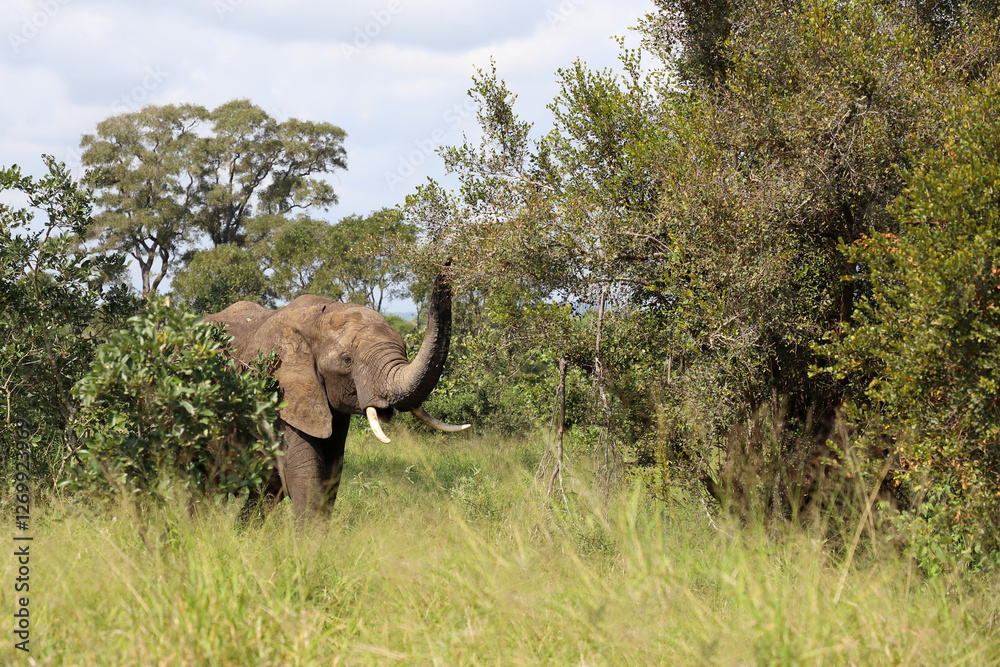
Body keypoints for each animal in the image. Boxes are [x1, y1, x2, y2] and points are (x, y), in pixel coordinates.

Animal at [205, 271, 468, 523]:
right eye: (347, 360)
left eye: (404, 347)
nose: (445, 269)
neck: (316, 317)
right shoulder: (278, 391)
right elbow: (304, 472)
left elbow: (331, 472)